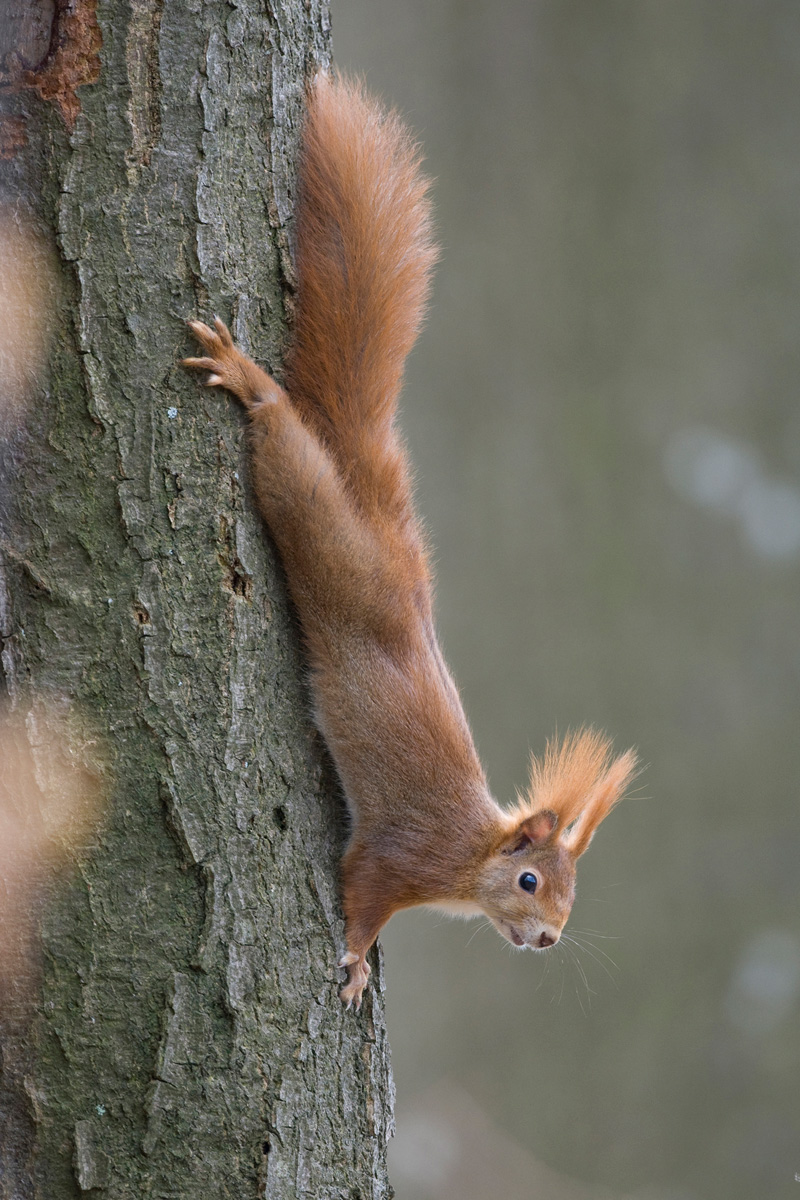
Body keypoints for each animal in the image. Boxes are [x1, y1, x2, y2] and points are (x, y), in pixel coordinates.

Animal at [185, 75, 638, 1008]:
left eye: (572, 896)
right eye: (531, 881)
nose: (547, 938)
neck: (467, 858)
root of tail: (384, 529)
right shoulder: (394, 856)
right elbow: (362, 893)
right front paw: (358, 959)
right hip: (320, 526)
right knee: (285, 449)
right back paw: (250, 382)